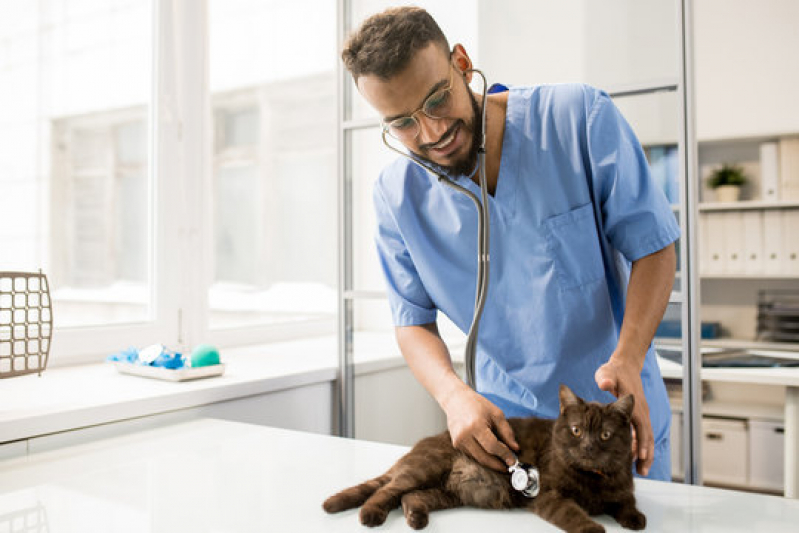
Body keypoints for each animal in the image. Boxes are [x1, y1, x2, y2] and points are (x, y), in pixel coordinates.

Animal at [324, 384, 644, 532]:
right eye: (577, 431)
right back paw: (370, 515)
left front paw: (635, 519)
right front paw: (593, 528)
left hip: (449, 492)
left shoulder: (622, 486)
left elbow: (627, 503)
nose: (588, 447)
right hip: (426, 468)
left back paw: (416, 518)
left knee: (410, 497)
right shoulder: (549, 494)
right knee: (386, 490)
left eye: (605, 435)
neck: (593, 479)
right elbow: (572, 513)